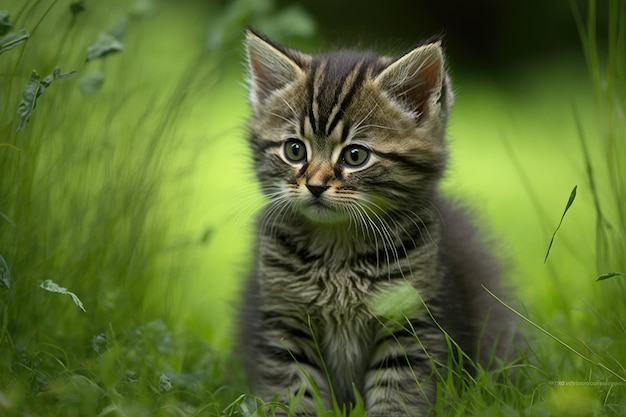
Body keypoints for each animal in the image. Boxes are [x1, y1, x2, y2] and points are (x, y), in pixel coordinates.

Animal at [236, 29, 516, 416]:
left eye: (355, 156)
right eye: (295, 150)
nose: (315, 185)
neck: (338, 253)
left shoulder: (411, 321)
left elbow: (399, 394)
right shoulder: (283, 320)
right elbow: (293, 392)